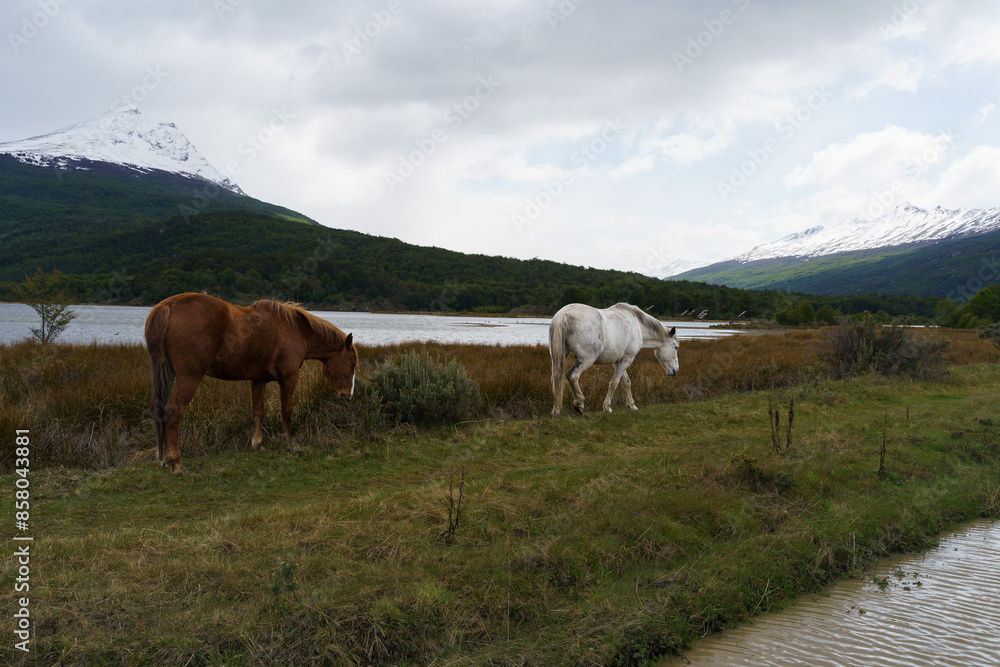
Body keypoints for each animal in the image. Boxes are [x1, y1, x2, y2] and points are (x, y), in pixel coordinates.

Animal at [144, 293, 358, 474]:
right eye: (352, 363)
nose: (347, 395)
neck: (295, 330)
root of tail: (168, 306)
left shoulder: (258, 381)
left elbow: (258, 412)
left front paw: (258, 444)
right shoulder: (289, 379)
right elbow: (287, 411)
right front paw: (290, 443)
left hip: (166, 373)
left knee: (160, 410)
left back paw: (165, 459)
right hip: (189, 377)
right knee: (174, 410)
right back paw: (177, 463)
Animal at [549, 302, 679, 417]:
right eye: (676, 347)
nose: (675, 370)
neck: (637, 325)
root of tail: (564, 314)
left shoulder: (619, 362)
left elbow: (626, 382)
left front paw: (632, 405)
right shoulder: (626, 360)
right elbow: (614, 383)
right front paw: (607, 407)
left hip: (559, 358)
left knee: (557, 379)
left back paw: (556, 411)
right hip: (586, 360)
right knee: (573, 376)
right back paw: (579, 405)